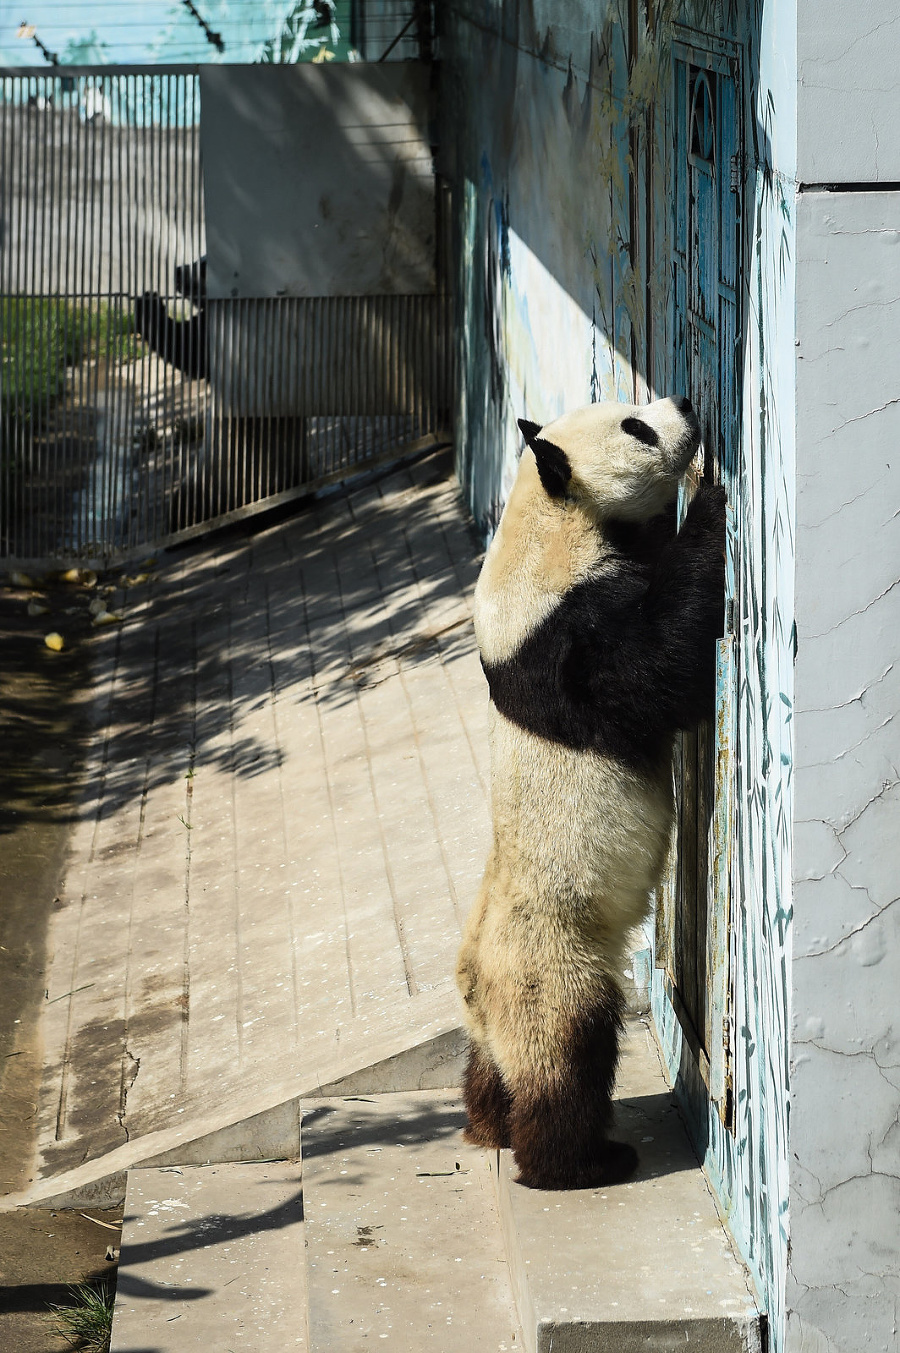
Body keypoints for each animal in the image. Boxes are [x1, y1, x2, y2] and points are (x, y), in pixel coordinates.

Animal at [457, 395, 725, 1190]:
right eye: (635, 426)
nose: (685, 404)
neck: (548, 517)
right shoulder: (564, 632)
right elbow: (656, 667)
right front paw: (707, 498)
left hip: (491, 1003)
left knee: (492, 1067)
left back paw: (488, 1124)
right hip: (552, 959)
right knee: (568, 1049)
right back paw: (577, 1161)